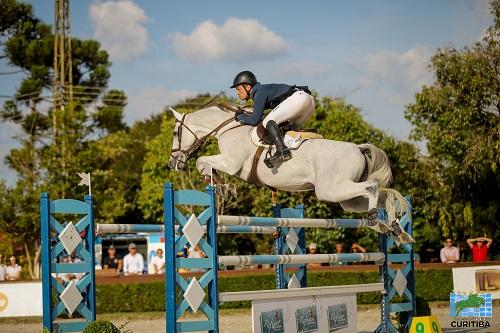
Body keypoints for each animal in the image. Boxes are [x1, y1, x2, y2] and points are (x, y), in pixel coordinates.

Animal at [168, 105, 414, 243]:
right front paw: (220, 185)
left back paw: (375, 221)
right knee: (385, 195)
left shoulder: (232, 163)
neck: (228, 128)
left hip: (332, 190)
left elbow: (202, 161)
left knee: (373, 187)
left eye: (174, 132)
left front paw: (221, 186)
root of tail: (357, 148)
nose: (173, 162)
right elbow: (205, 163)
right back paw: (395, 229)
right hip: (347, 199)